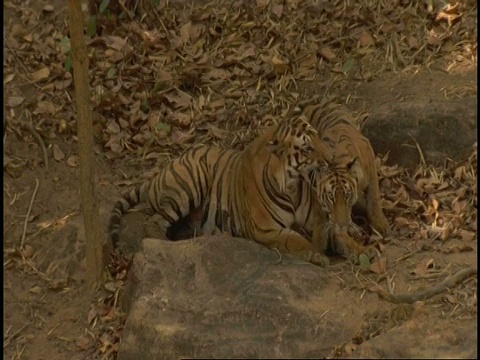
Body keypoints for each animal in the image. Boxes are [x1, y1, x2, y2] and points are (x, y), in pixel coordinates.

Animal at [300, 98, 390, 262]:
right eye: (330, 197)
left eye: (348, 195)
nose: (341, 225)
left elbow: (374, 198)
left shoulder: (371, 164)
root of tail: (312, 104)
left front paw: (380, 224)